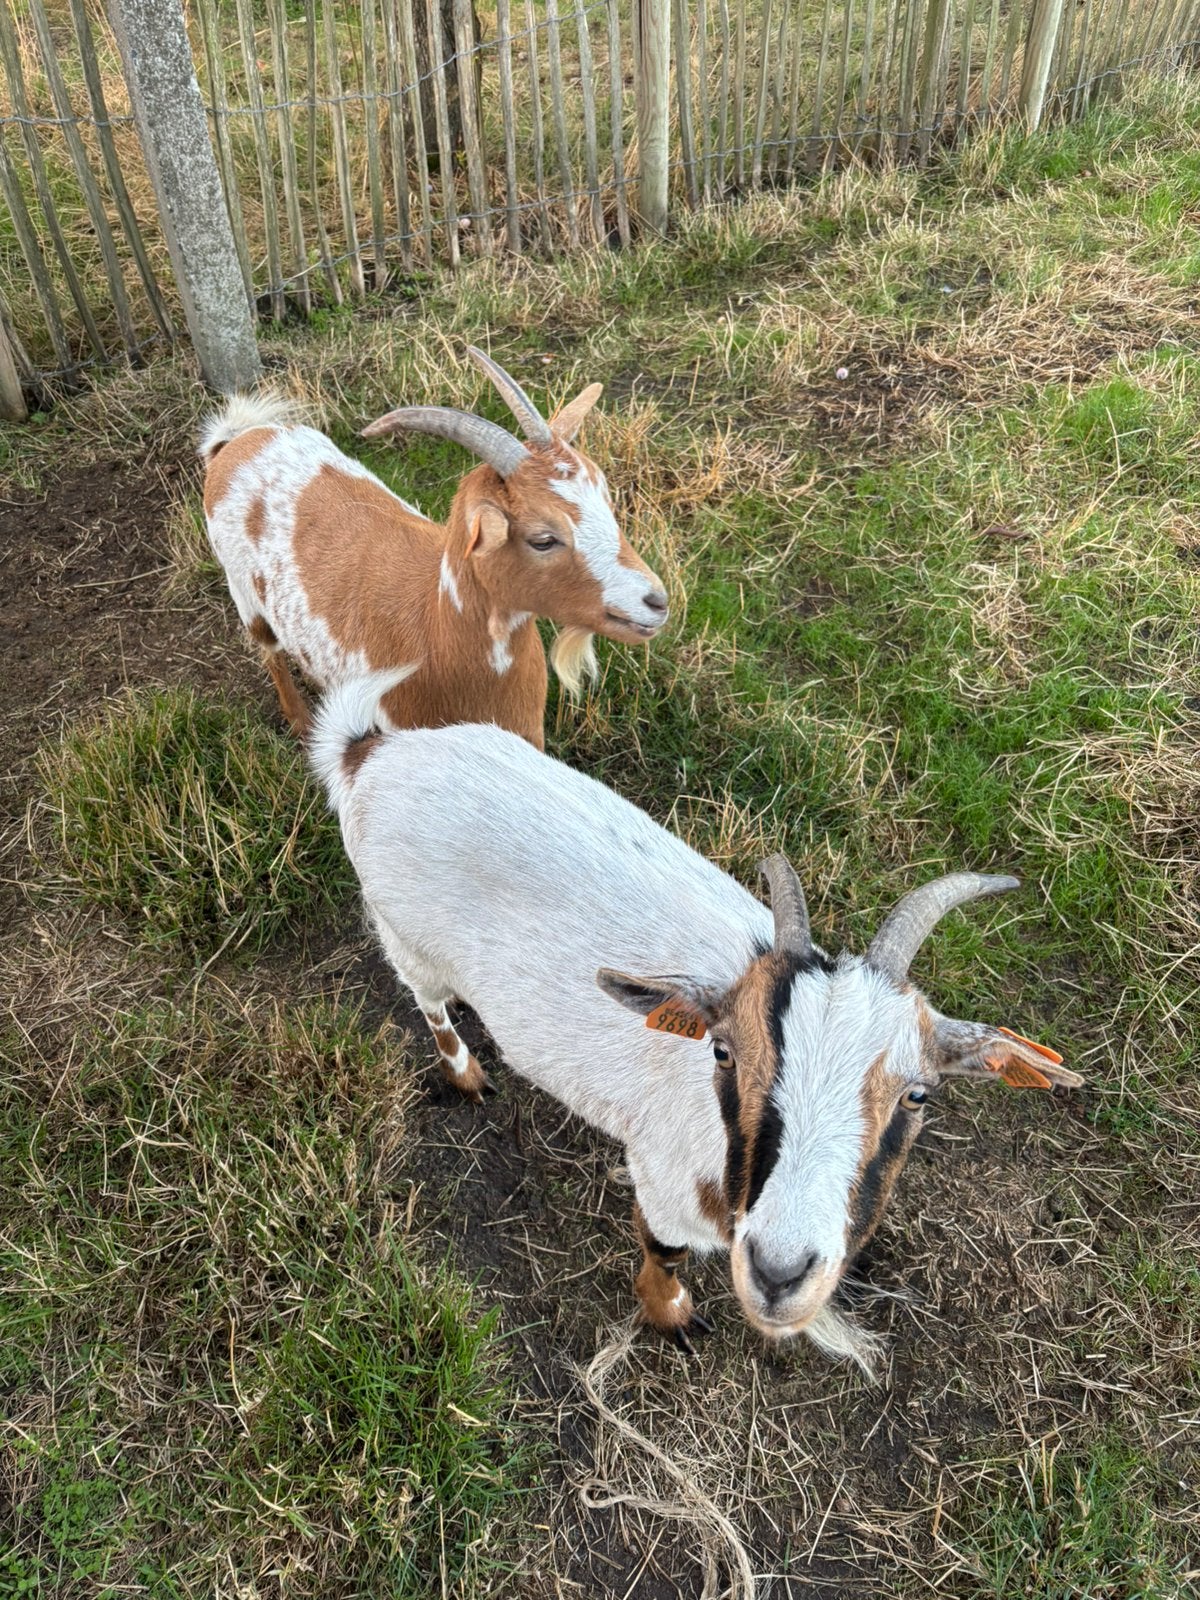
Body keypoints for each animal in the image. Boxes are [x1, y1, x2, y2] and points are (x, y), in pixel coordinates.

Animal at [198, 347, 668, 745]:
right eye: (543, 539)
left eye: (607, 503)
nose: (657, 602)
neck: (435, 625)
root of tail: (237, 442)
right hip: (246, 596)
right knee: (270, 652)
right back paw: (299, 720)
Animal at [310, 674, 1082, 1373]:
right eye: (724, 1054)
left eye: (918, 1093)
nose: (779, 1274)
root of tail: (372, 752)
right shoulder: (661, 1179)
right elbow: (664, 1248)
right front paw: (670, 1315)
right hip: (406, 938)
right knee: (430, 1005)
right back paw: (467, 1072)